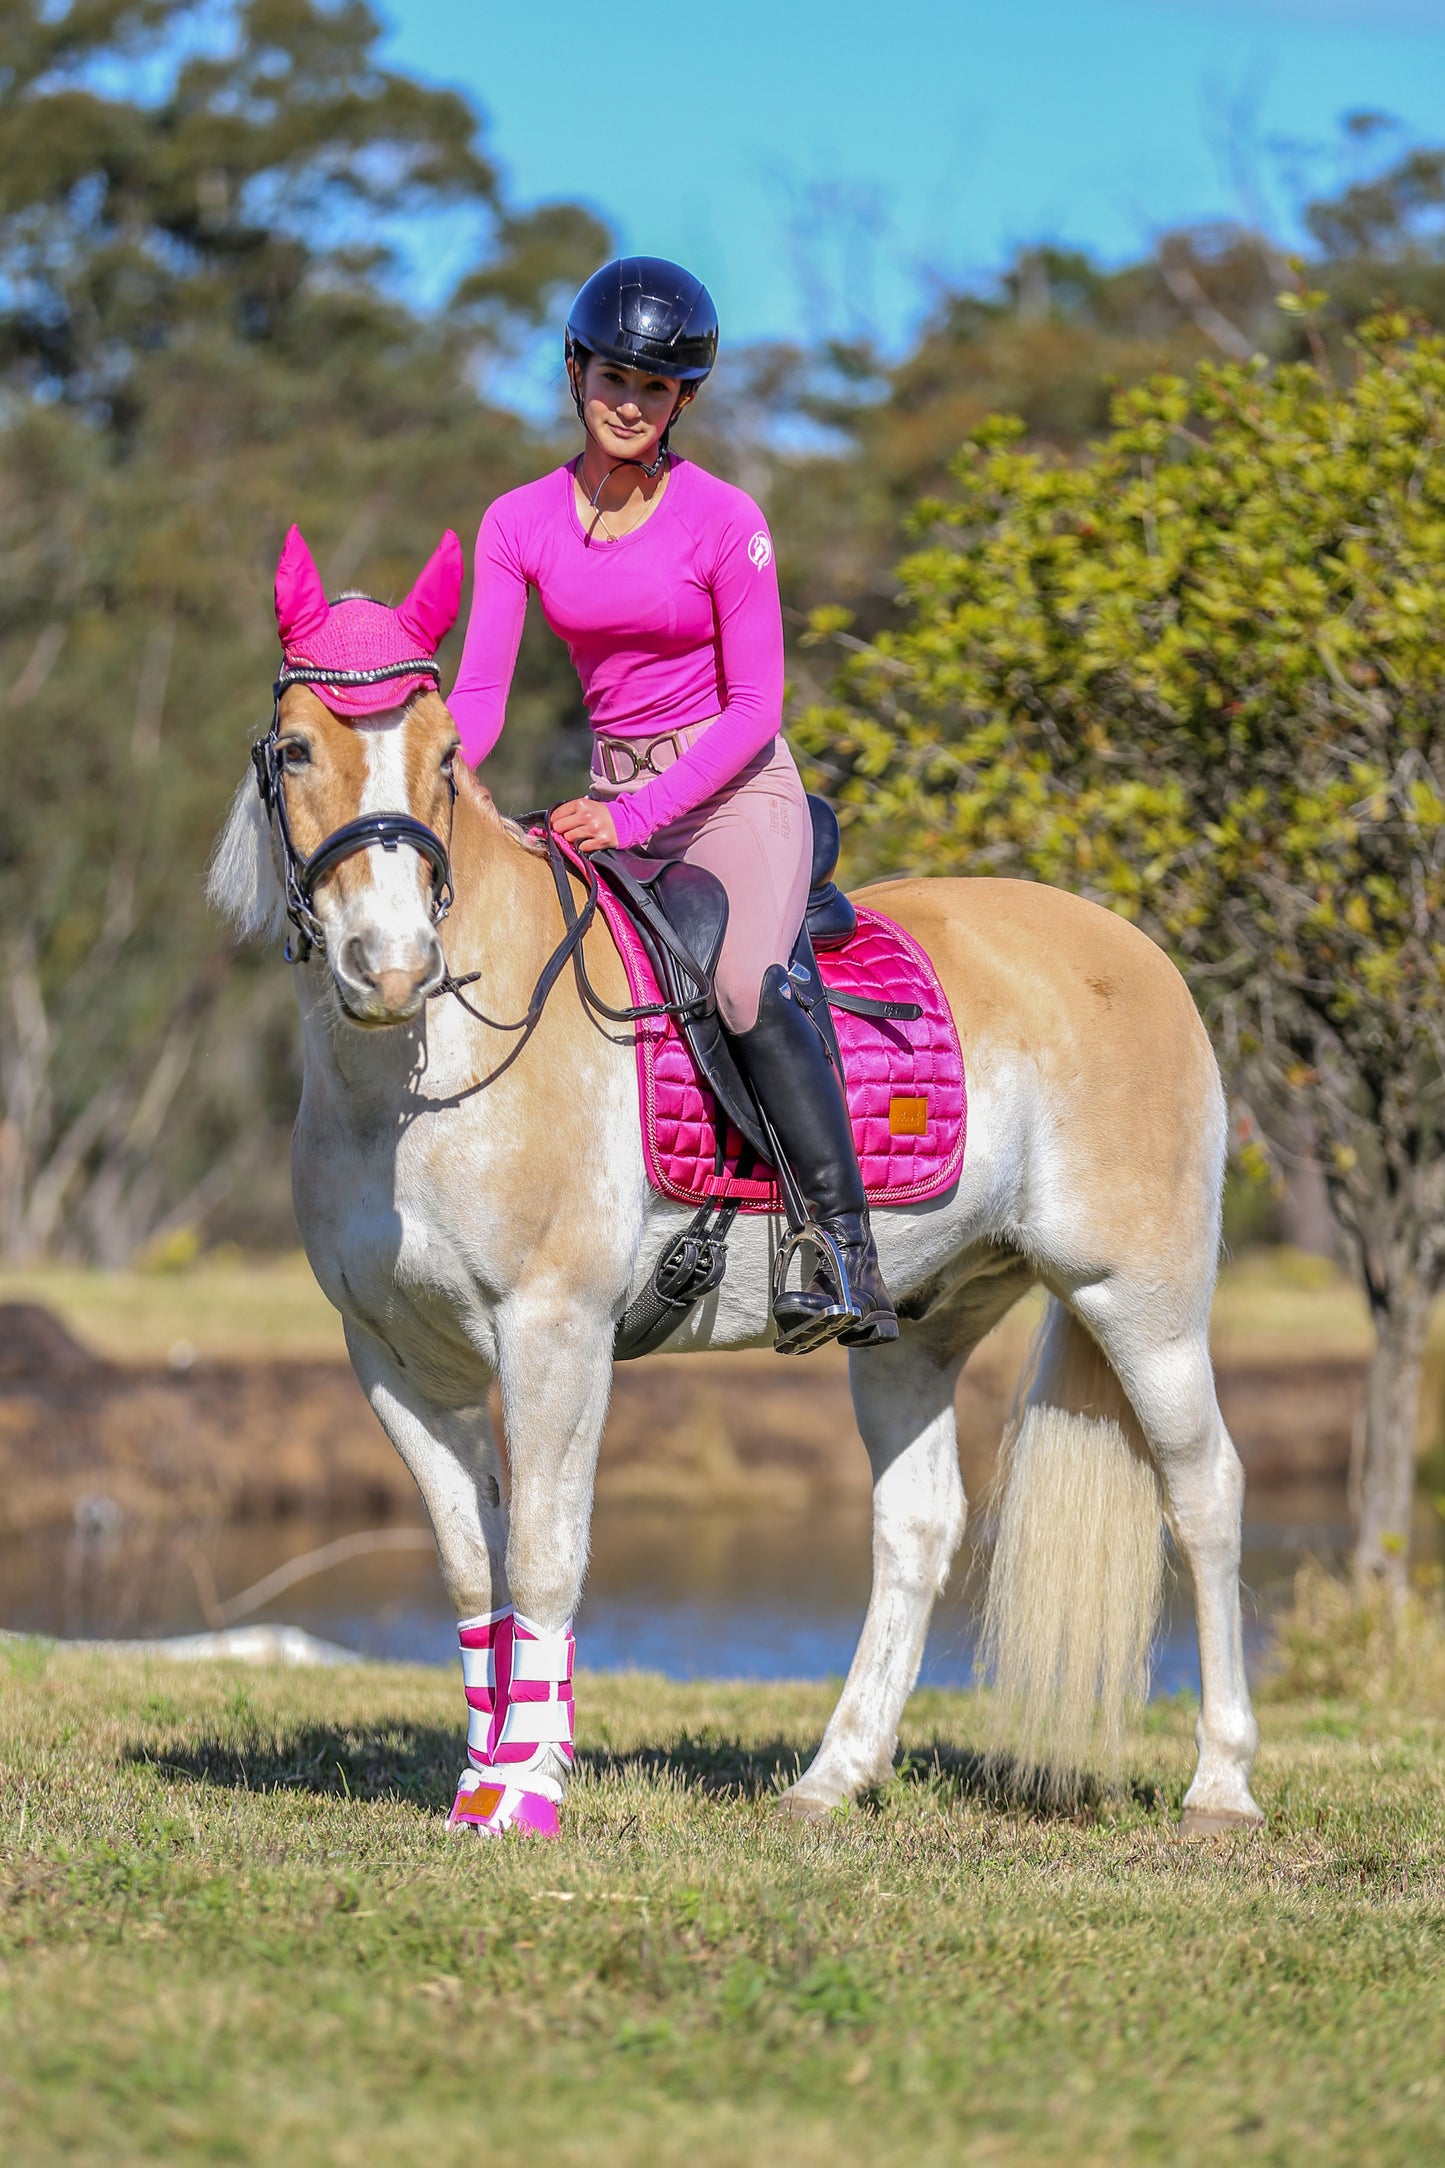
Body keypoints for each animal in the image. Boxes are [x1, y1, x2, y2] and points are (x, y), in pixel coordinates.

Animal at [209, 641, 1256, 1829]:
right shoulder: (391, 1358)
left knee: (1203, 1493)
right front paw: (482, 1779)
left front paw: (525, 1788)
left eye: (441, 760)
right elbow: (474, 1569)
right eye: (297, 751)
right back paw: (832, 1775)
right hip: (913, 1328)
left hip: (1139, 1304)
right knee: (916, 1525)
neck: (417, 1083)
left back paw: (1220, 1784)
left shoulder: (553, 1333)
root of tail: (1138, 951)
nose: (390, 965)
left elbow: (545, 1554)